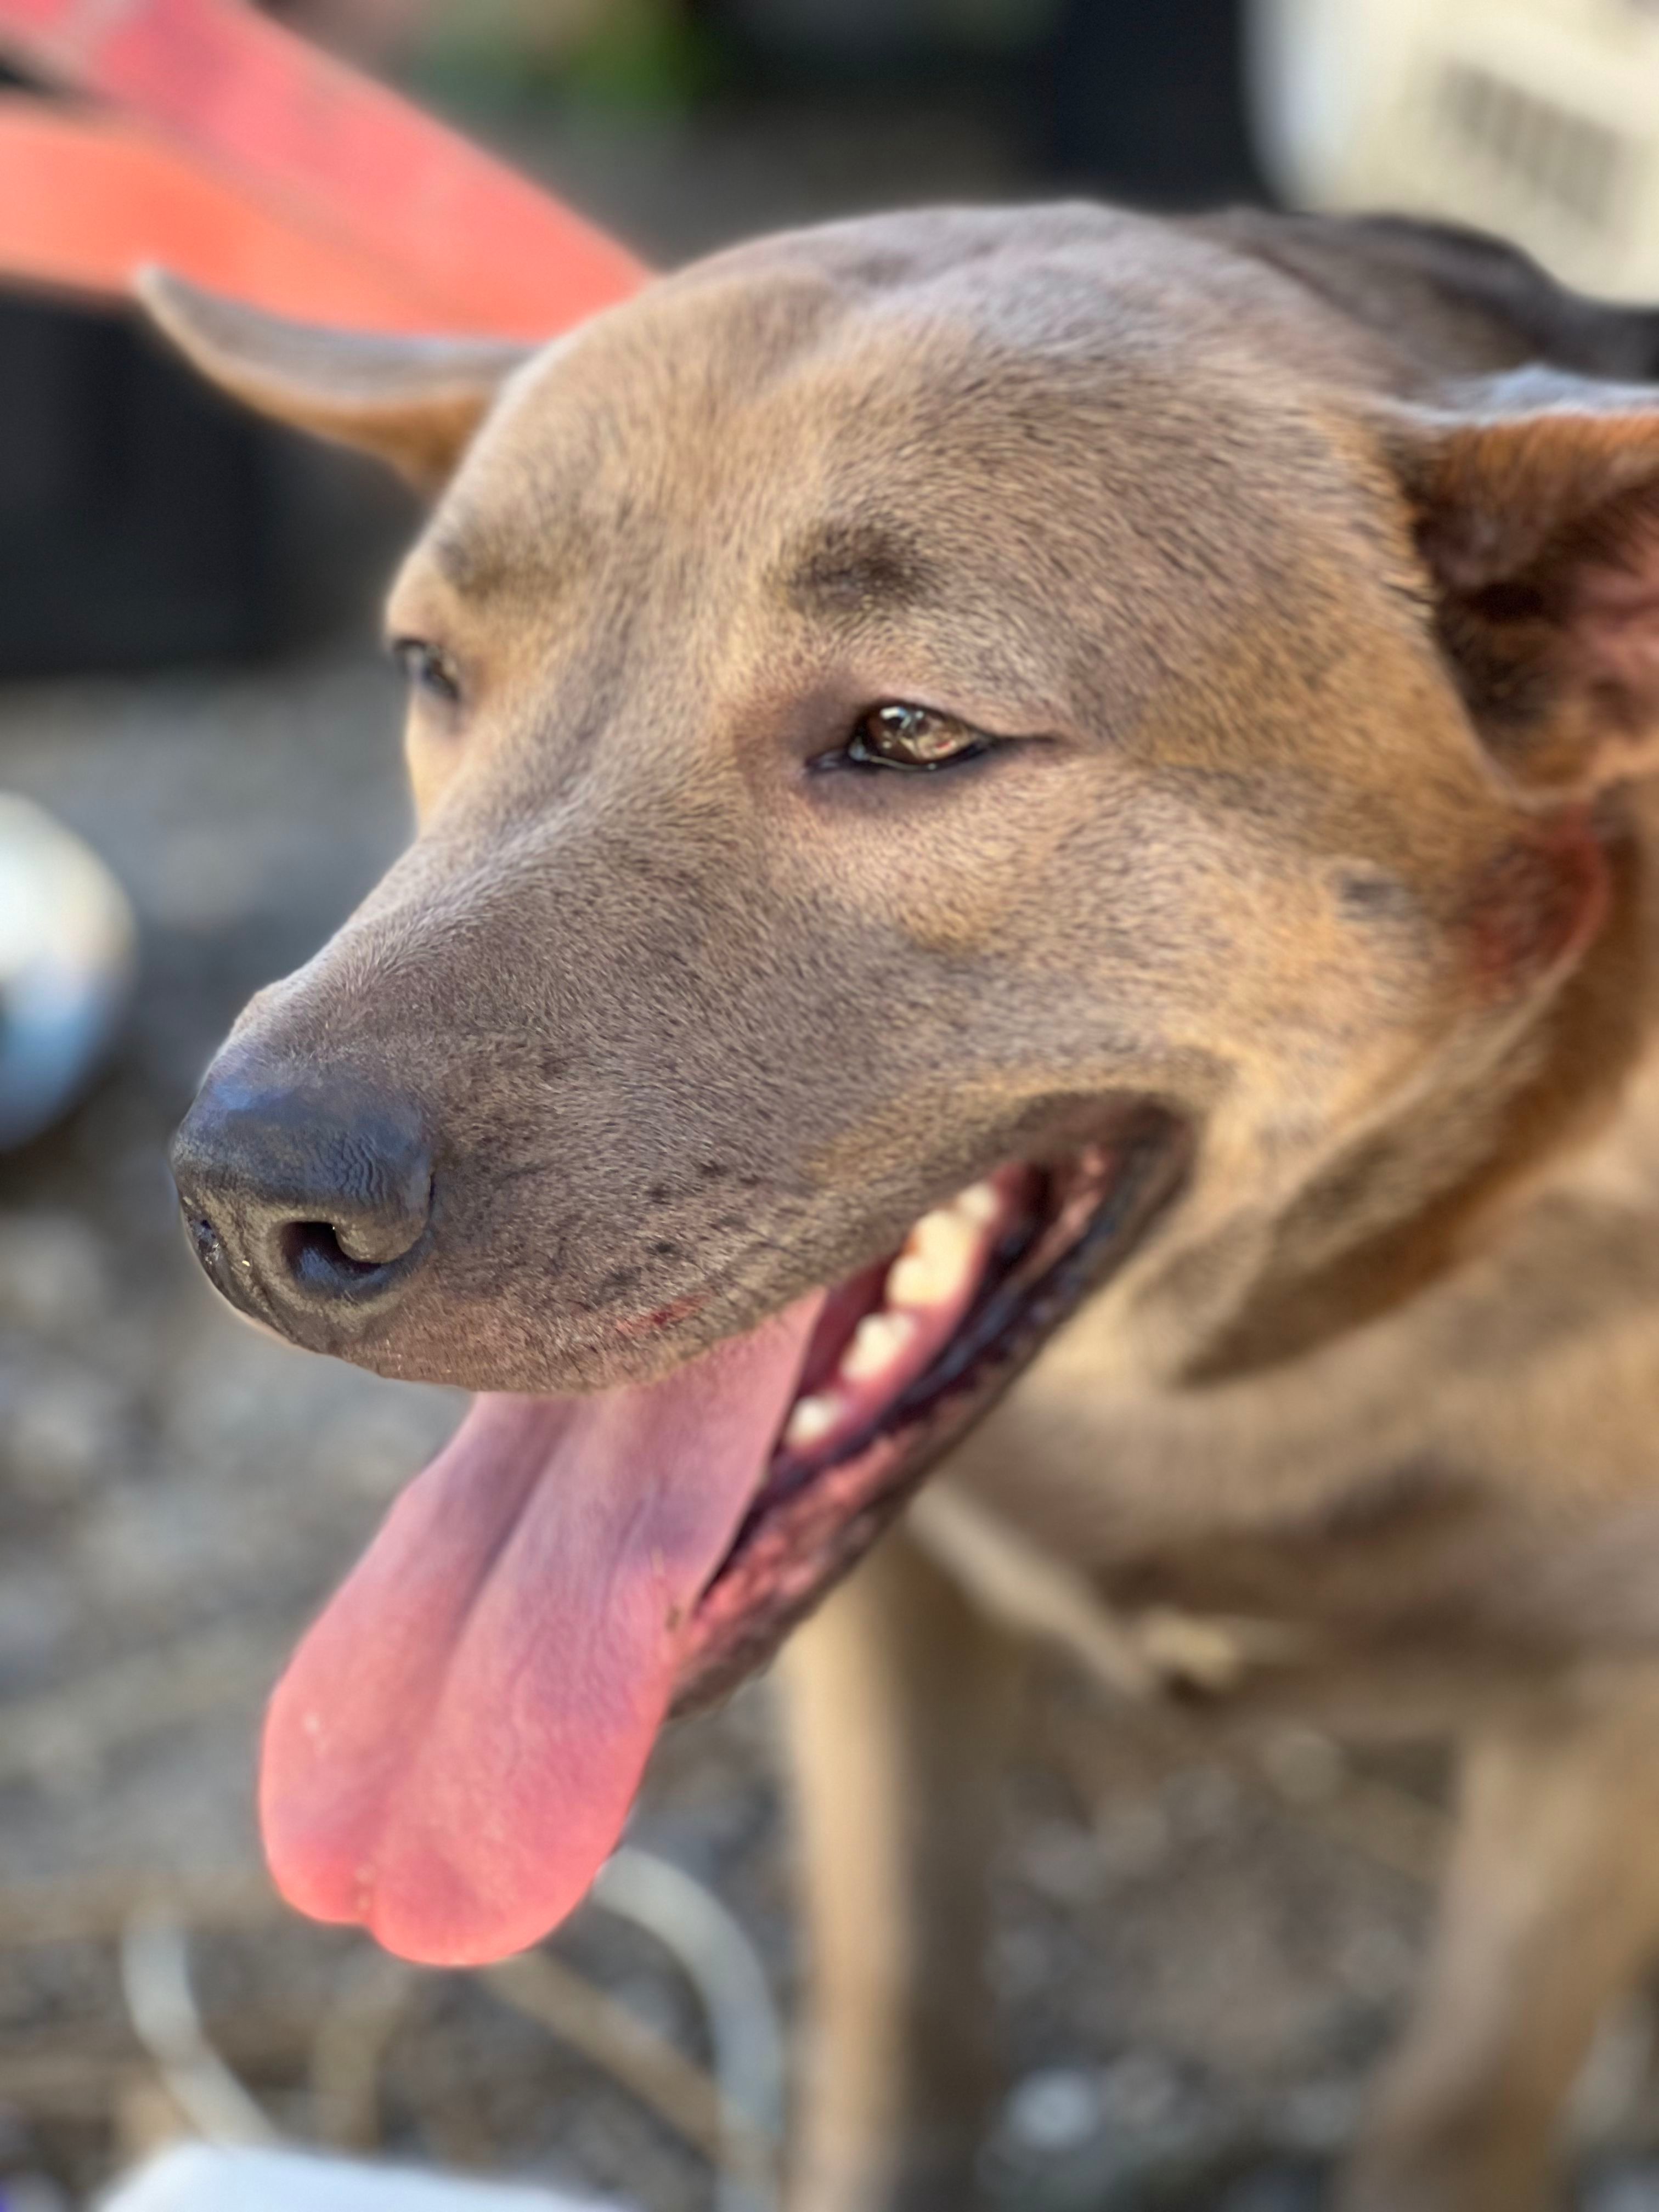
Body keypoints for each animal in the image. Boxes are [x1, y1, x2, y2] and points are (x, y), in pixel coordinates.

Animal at [153, 199, 1659, 2203]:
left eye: (912, 732)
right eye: (429, 669)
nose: (249, 1203)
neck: (1223, 1393)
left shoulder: (1599, 1741)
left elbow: (1459, 2106)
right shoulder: (885, 1639)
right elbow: (902, 2010)